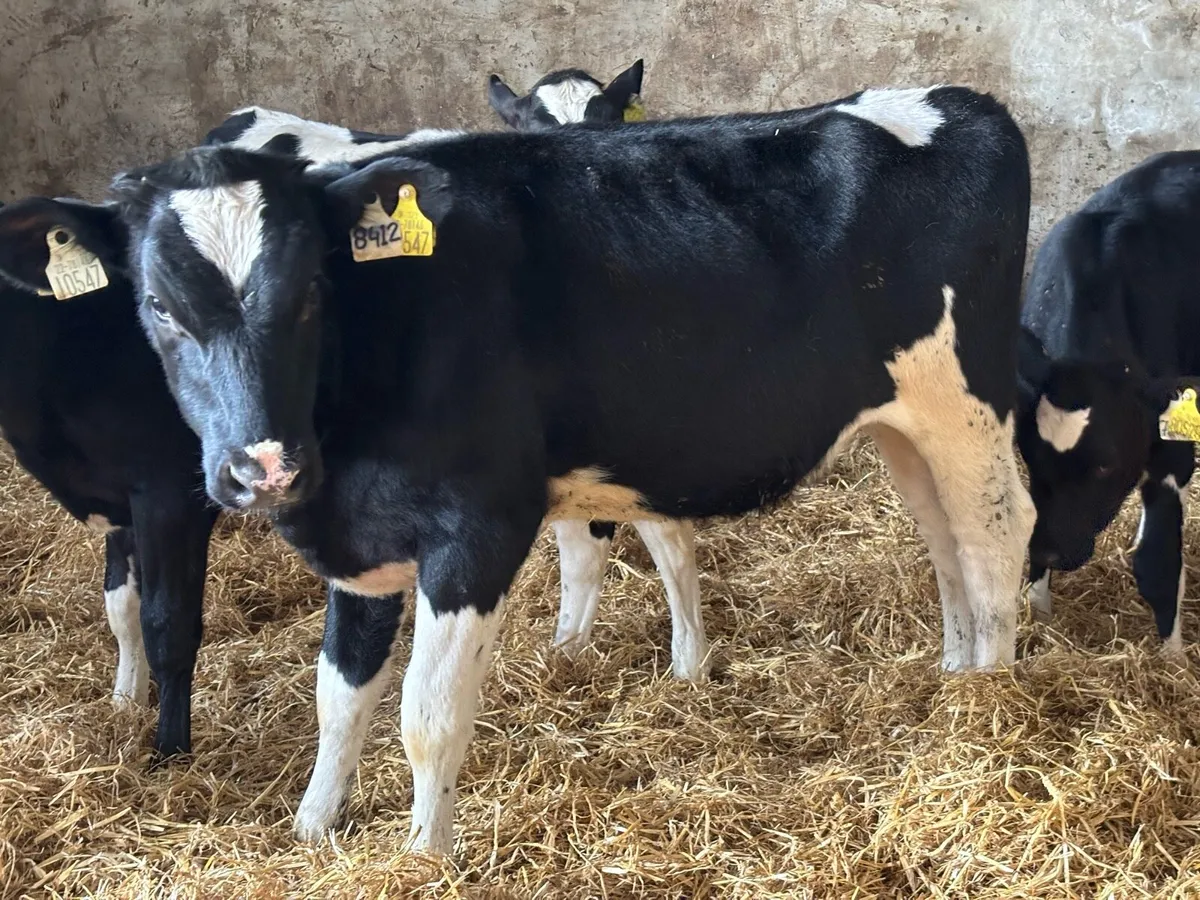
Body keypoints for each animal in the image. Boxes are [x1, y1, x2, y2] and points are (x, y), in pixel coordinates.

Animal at [47, 84, 1033, 852]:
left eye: (313, 292)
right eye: (156, 306)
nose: (262, 468)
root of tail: (960, 101)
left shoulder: (478, 525)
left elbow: (428, 716)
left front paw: (424, 856)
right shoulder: (359, 533)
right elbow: (340, 694)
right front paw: (314, 827)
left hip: (964, 399)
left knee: (995, 532)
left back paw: (990, 710)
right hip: (905, 421)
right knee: (944, 536)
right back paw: (953, 679)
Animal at [1016, 150, 1200, 651]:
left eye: (1103, 466)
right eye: (1028, 458)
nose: (1049, 551)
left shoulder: (1168, 435)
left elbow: (1157, 558)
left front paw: (1172, 655)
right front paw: (1039, 613)